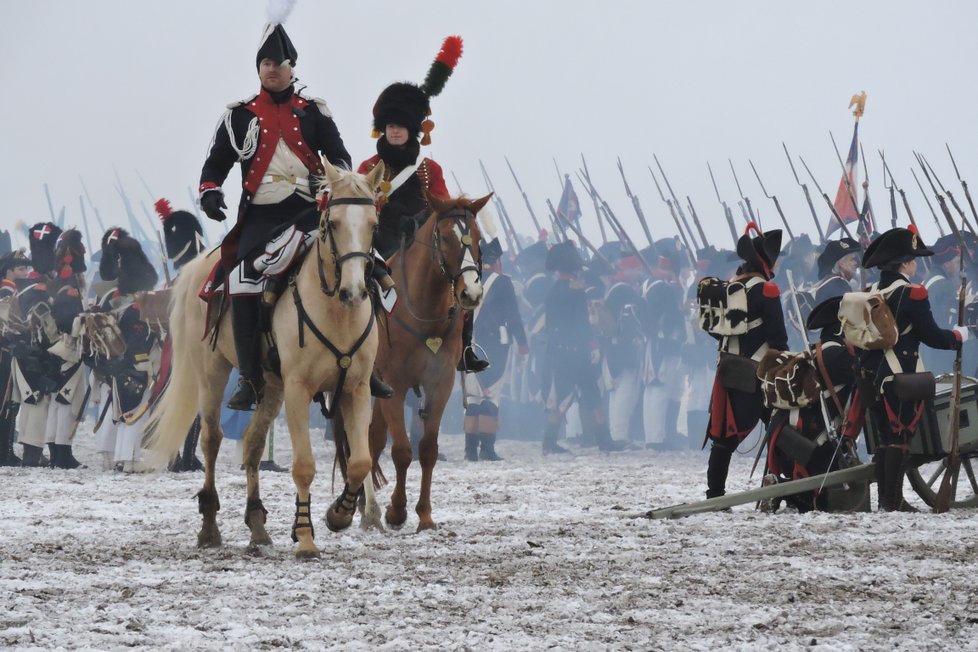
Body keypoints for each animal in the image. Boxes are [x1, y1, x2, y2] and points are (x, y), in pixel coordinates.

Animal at [145, 160, 386, 556]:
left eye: (373, 225)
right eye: (333, 223)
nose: (353, 293)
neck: (335, 311)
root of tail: (203, 265)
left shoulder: (357, 388)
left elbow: (360, 462)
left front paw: (339, 515)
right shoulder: (298, 390)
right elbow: (303, 465)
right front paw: (305, 536)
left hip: (271, 387)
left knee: (254, 444)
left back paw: (257, 525)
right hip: (212, 374)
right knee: (211, 439)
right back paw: (209, 526)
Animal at [364, 192, 492, 528]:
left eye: (478, 238)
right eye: (445, 237)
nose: (471, 293)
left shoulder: (440, 384)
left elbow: (428, 450)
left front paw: (424, 515)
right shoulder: (394, 386)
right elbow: (402, 451)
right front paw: (397, 510)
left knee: (373, 439)